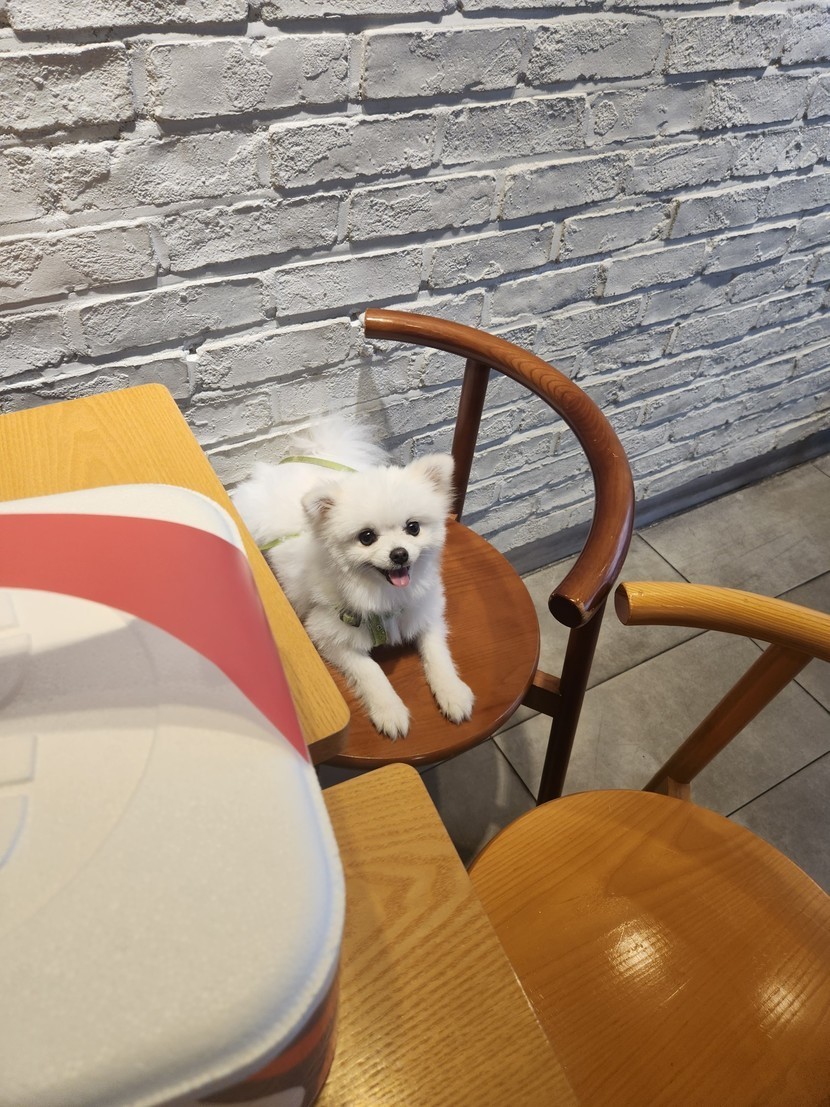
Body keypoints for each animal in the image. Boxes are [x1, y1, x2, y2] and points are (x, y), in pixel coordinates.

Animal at [232, 418, 474, 739]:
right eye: (366, 537)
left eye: (413, 528)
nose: (399, 554)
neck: (382, 594)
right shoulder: (328, 633)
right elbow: (371, 671)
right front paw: (390, 710)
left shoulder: (424, 612)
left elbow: (438, 653)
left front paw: (452, 692)